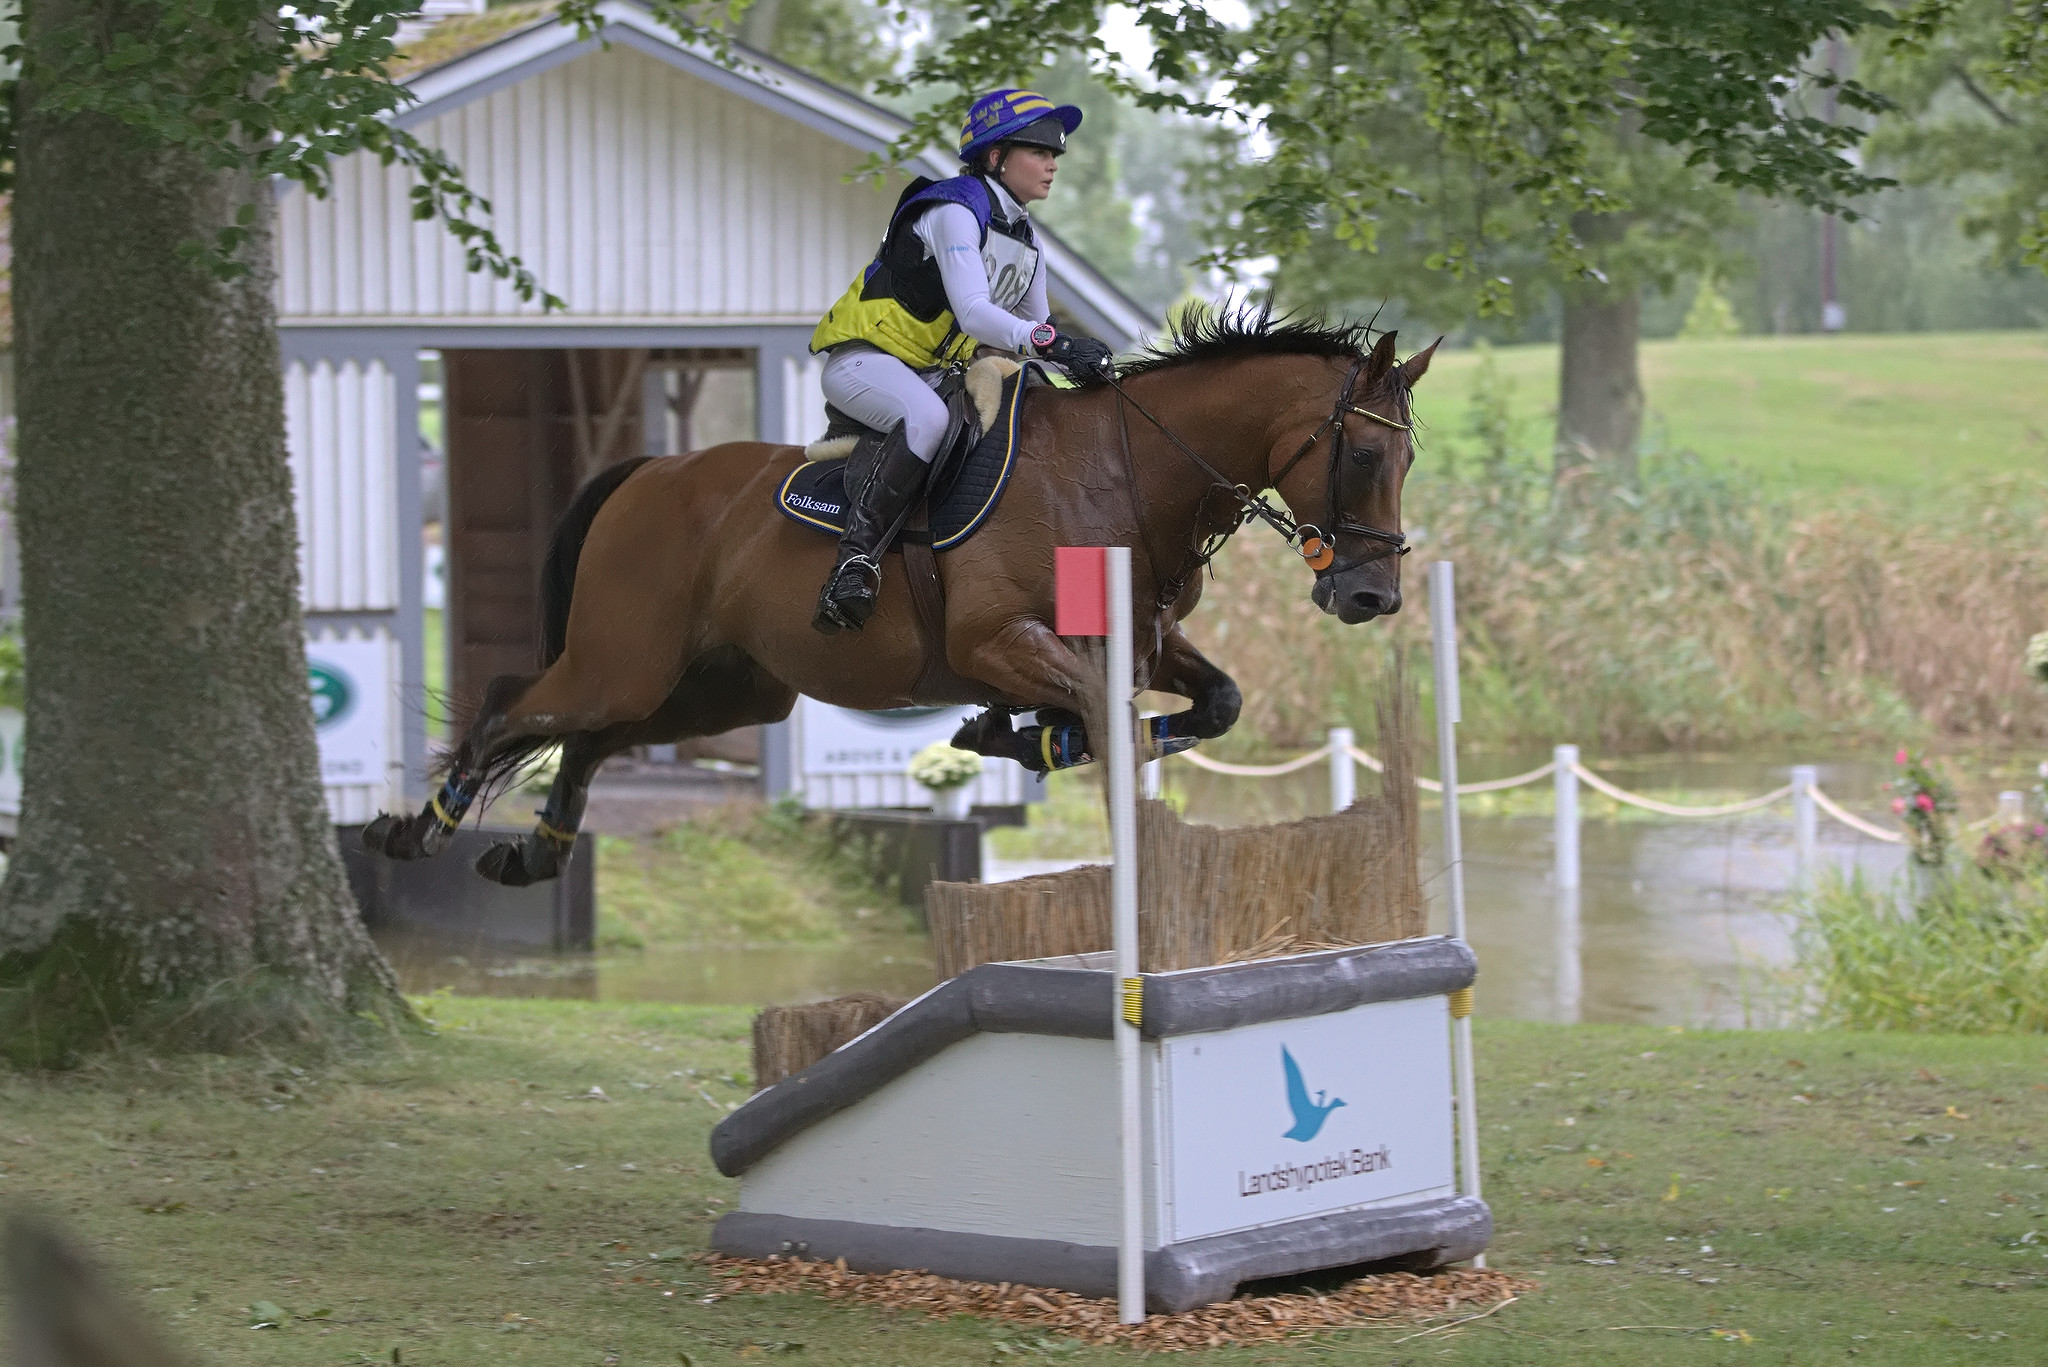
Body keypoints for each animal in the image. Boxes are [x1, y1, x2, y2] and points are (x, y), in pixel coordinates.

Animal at [356, 307, 1441, 889]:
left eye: (1407, 460)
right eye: (1360, 453)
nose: (1371, 594)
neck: (1127, 473)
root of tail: (649, 472)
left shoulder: (1143, 638)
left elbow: (1209, 703)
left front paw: (1017, 736)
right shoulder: (996, 636)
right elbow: (1102, 714)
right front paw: (1023, 735)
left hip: (726, 686)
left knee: (587, 736)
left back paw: (533, 853)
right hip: (625, 657)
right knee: (518, 703)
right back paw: (419, 827)